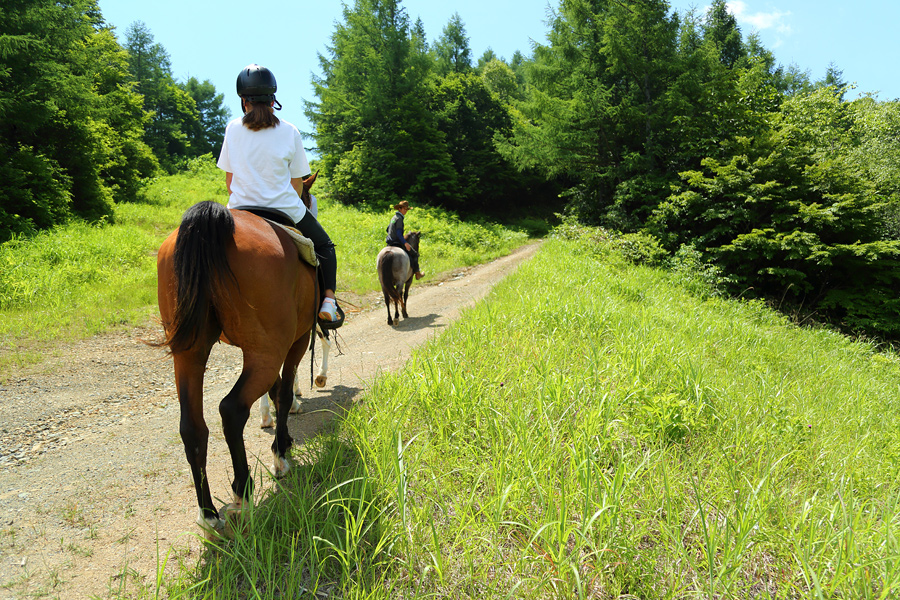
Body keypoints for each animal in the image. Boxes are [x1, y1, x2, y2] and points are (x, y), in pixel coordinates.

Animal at [156, 189, 318, 536]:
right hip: (266, 351)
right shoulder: (296, 341)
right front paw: (281, 451)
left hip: (191, 353)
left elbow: (275, 391)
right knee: (232, 410)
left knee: (193, 427)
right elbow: (284, 393)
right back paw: (243, 491)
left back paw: (208, 514)